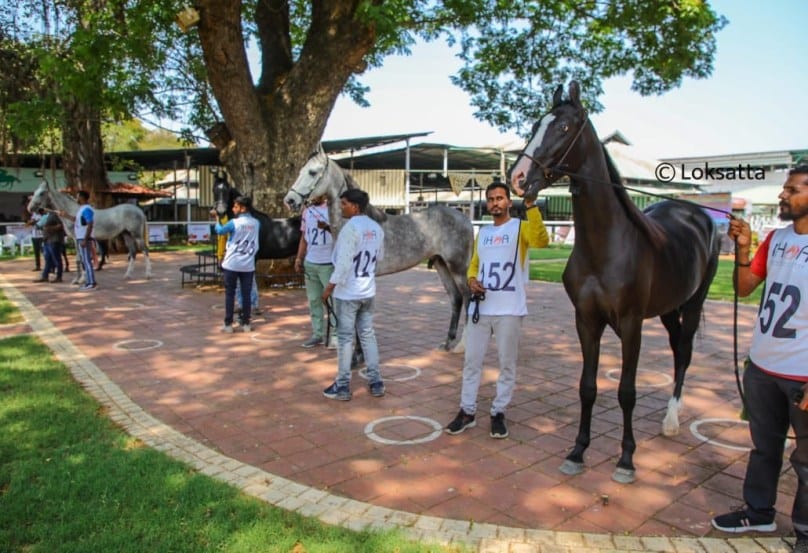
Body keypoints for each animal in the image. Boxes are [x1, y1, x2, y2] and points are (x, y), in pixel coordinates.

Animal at [284, 147, 474, 350]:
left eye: (312, 172)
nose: (290, 200)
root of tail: (465, 219)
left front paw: (357, 354)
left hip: (458, 268)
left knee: (468, 297)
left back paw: (462, 345)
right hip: (441, 264)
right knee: (456, 298)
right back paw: (447, 343)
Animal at [512, 82, 720, 484]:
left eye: (563, 128)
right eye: (535, 124)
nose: (518, 176)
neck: (606, 245)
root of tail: (697, 215)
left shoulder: (630, 324)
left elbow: (626, 392)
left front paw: (626, 460)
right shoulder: (586, 321)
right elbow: (588, 387)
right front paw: (577, 452)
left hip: (693, 303)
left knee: (685, 352)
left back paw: (671, 419)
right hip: (668, 309)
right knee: (676, 350)